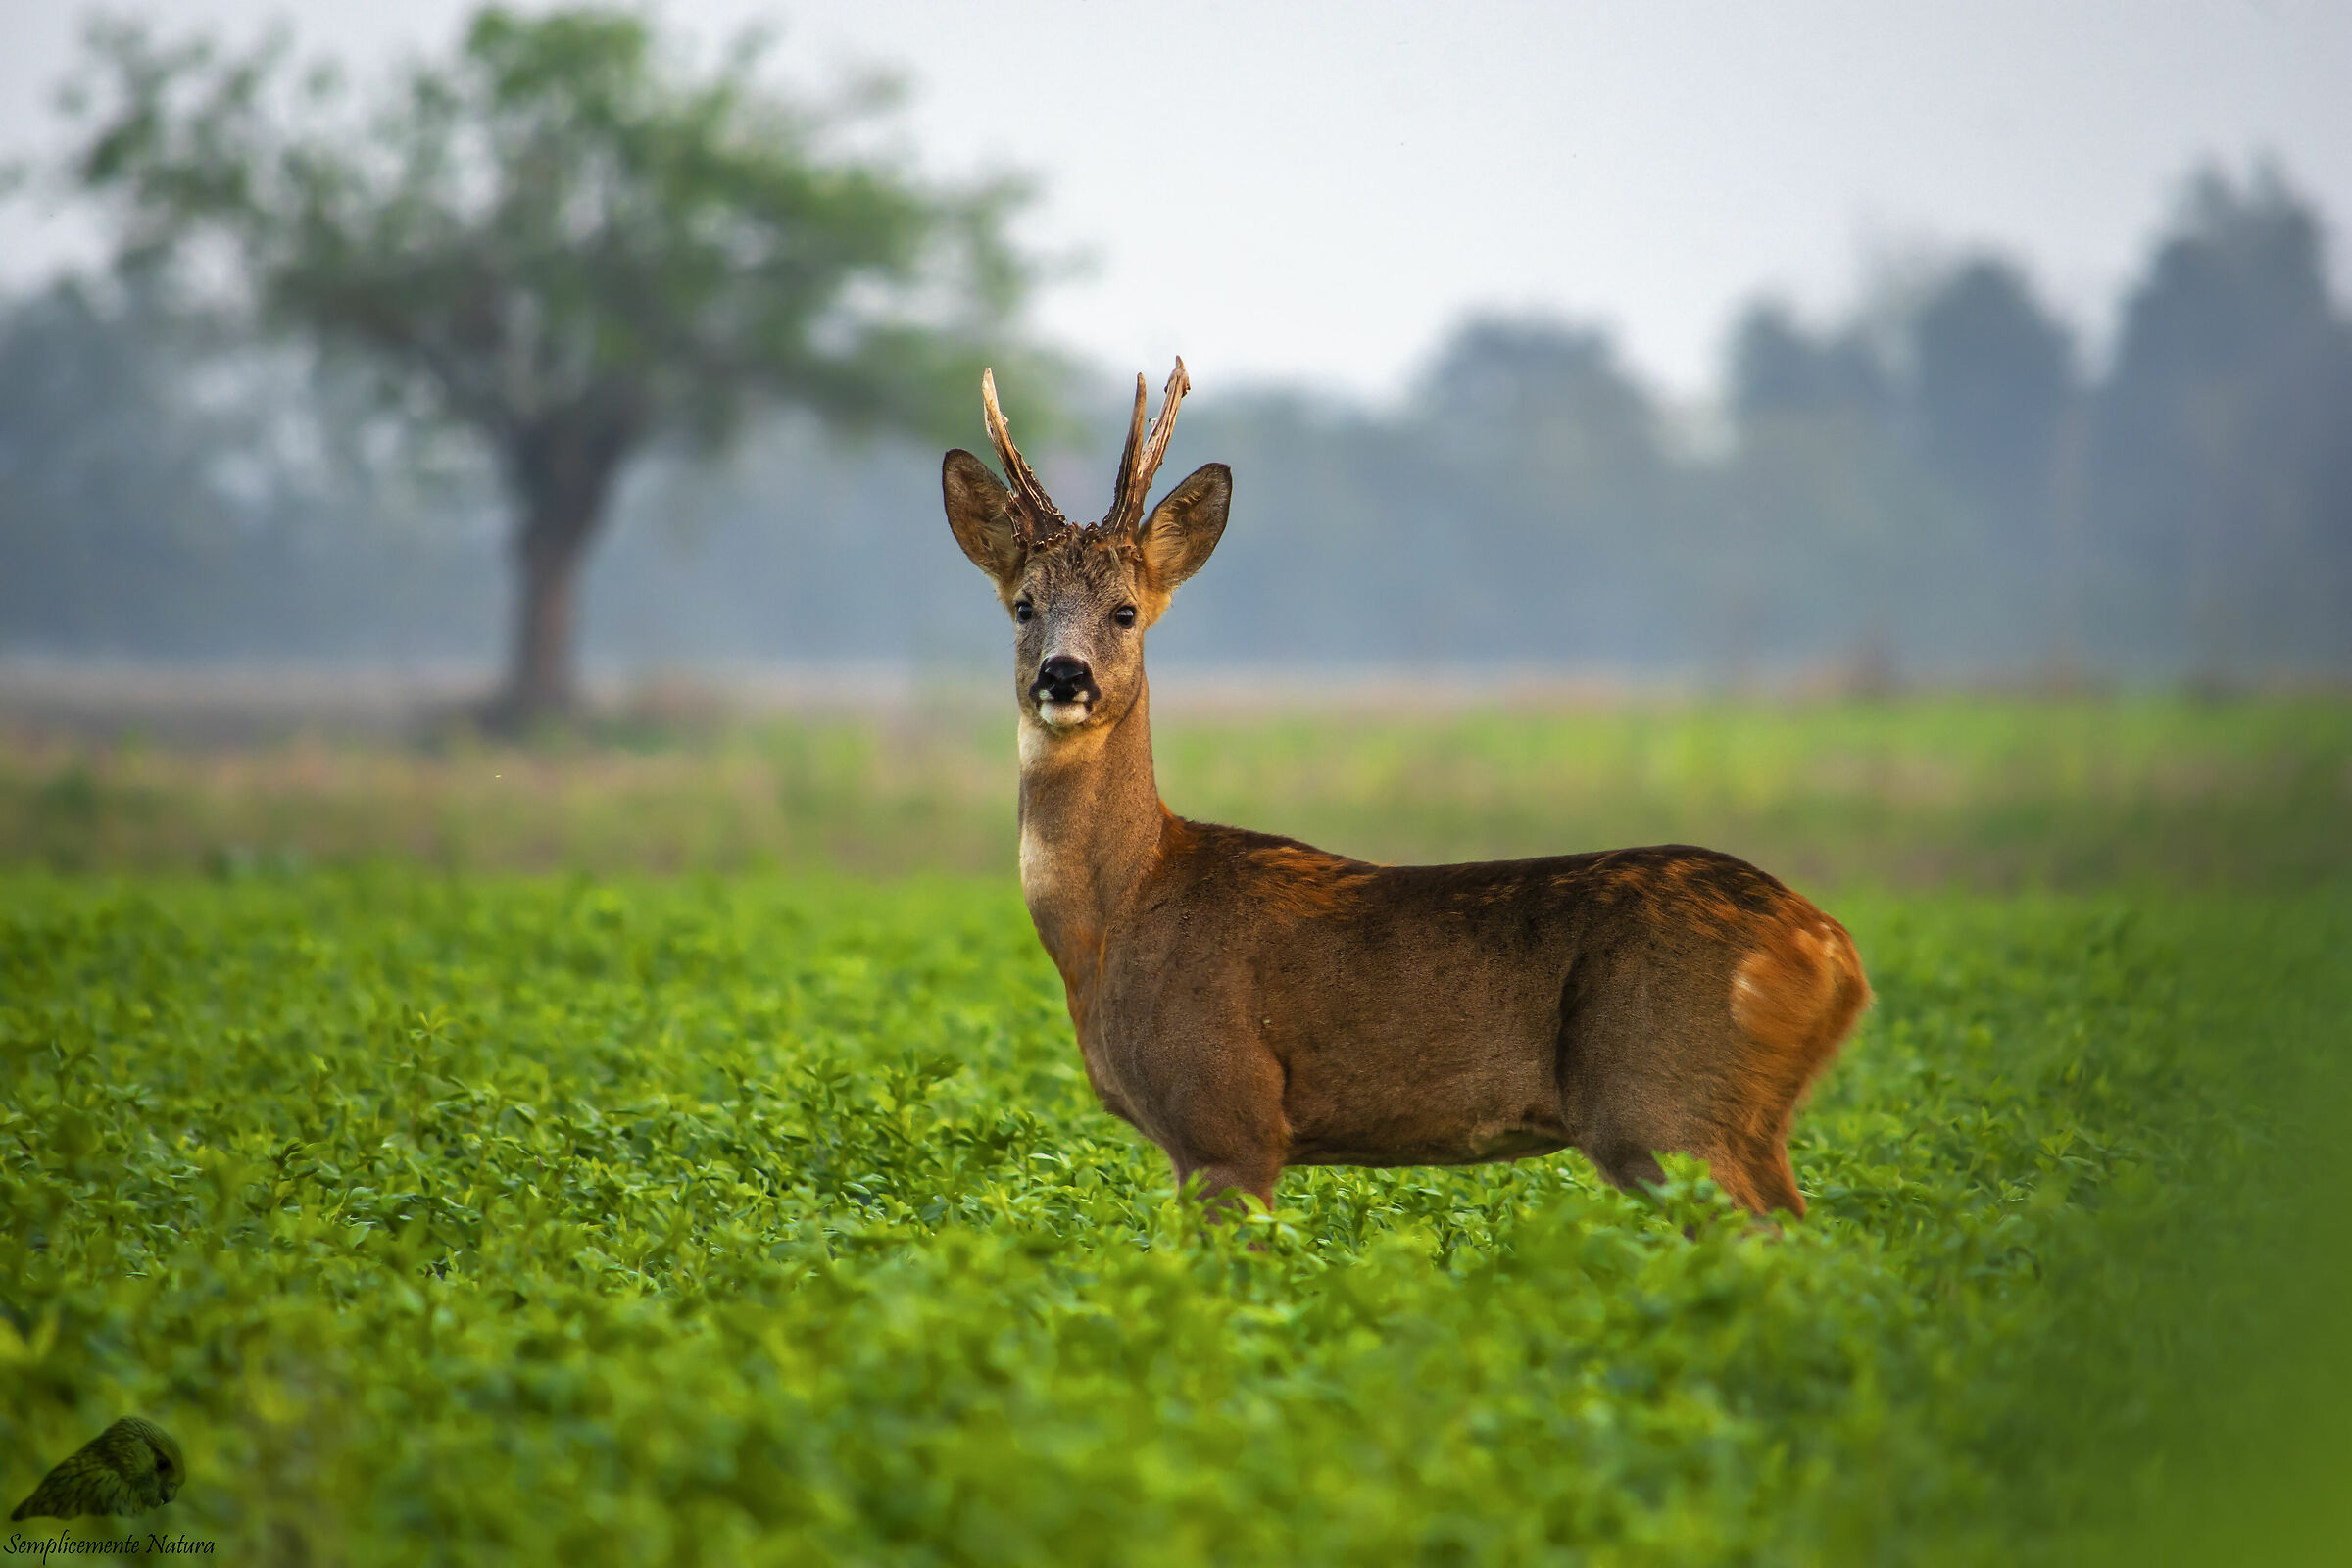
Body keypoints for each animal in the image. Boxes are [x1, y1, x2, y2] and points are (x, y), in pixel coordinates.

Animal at [941, 360, 1870, 1219]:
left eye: (1126, 611)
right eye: (1024, 606)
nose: (1065, 676)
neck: (1119, 915)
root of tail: (1833, 950)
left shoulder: (1226, 1116)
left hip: (1665, 1108)